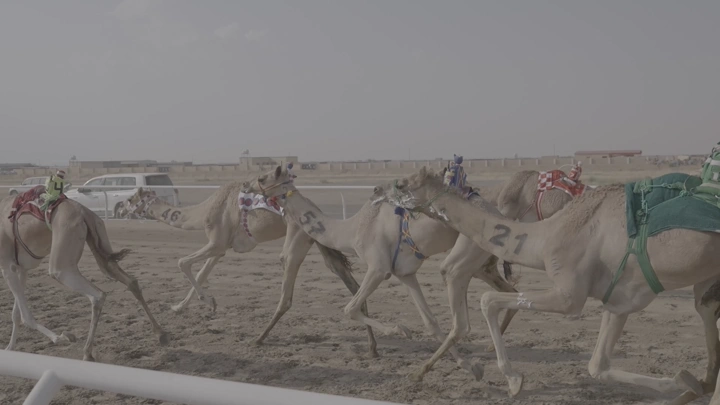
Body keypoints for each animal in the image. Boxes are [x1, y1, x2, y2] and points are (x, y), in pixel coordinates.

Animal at [0, 188, 167, 361]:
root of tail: (83, 212)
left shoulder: (7, 266)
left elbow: (25, 317)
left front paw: (61, 338)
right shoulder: (21, 269)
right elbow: (16, 314)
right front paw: (9, 348)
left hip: (62, 263)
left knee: (97, 295)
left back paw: (87, 353)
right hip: (99, 240)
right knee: (130, 281)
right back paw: (161, 334)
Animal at [118, 183, 379, 357]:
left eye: (131, 199)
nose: (119, 209)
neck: (203, 212)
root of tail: (316, 212)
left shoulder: (216, 241)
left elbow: (183, 262)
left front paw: (207, 301)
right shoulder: (222, 247)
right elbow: (201, 271)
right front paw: (182, 307)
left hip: (296, 237)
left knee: (286, 294)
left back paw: (259, 339)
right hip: (318, 241)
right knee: (353, 286)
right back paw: (372, 347)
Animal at [377, 166, 720, 402]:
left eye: (403, 183)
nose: (378, 190)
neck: (544, 237)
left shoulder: (569, 295)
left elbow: (488, 300)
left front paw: (513, 380)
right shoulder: (618, 299)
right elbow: (597, 366)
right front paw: (681, 382)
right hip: (706, 281)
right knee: (705, 310)